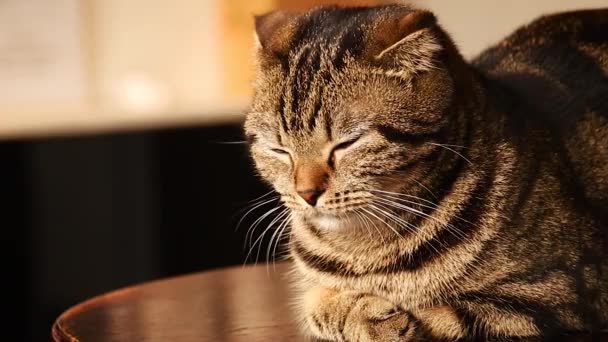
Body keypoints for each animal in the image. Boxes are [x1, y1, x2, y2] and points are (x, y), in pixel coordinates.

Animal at [243, 3, 608, 342]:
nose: (307, 193)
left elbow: (442, 316)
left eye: (348, 142)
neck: (361, 255)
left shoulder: (557, 296)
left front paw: (373, 317)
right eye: (278, 149)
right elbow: (314, 305)